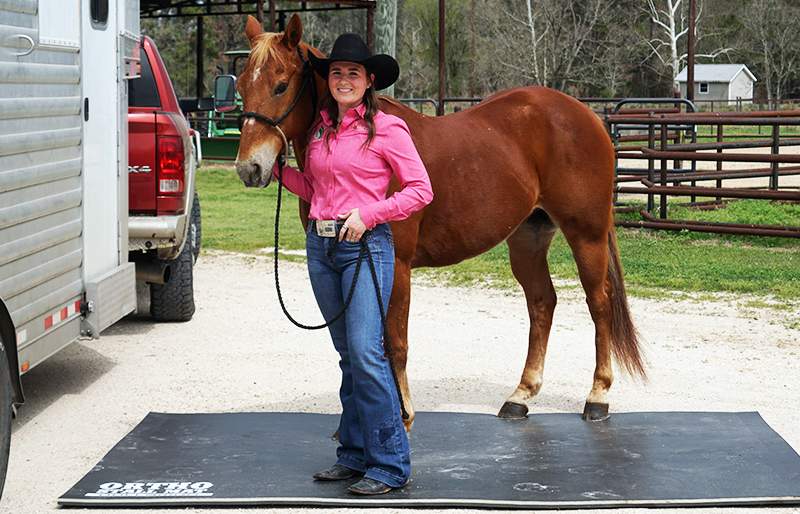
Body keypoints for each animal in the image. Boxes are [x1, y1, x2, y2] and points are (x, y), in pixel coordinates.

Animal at [234, 14, 648, 426]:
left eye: (281, 85)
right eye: (240, 87)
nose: (248, 168)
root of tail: (585, 113)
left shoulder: (395, 266)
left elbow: (394, 343)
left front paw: (402, 417)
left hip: (586, 233)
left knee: (600, 302)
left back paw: (598, 396)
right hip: (528, 236)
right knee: (542, 302)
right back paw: (521, 396)